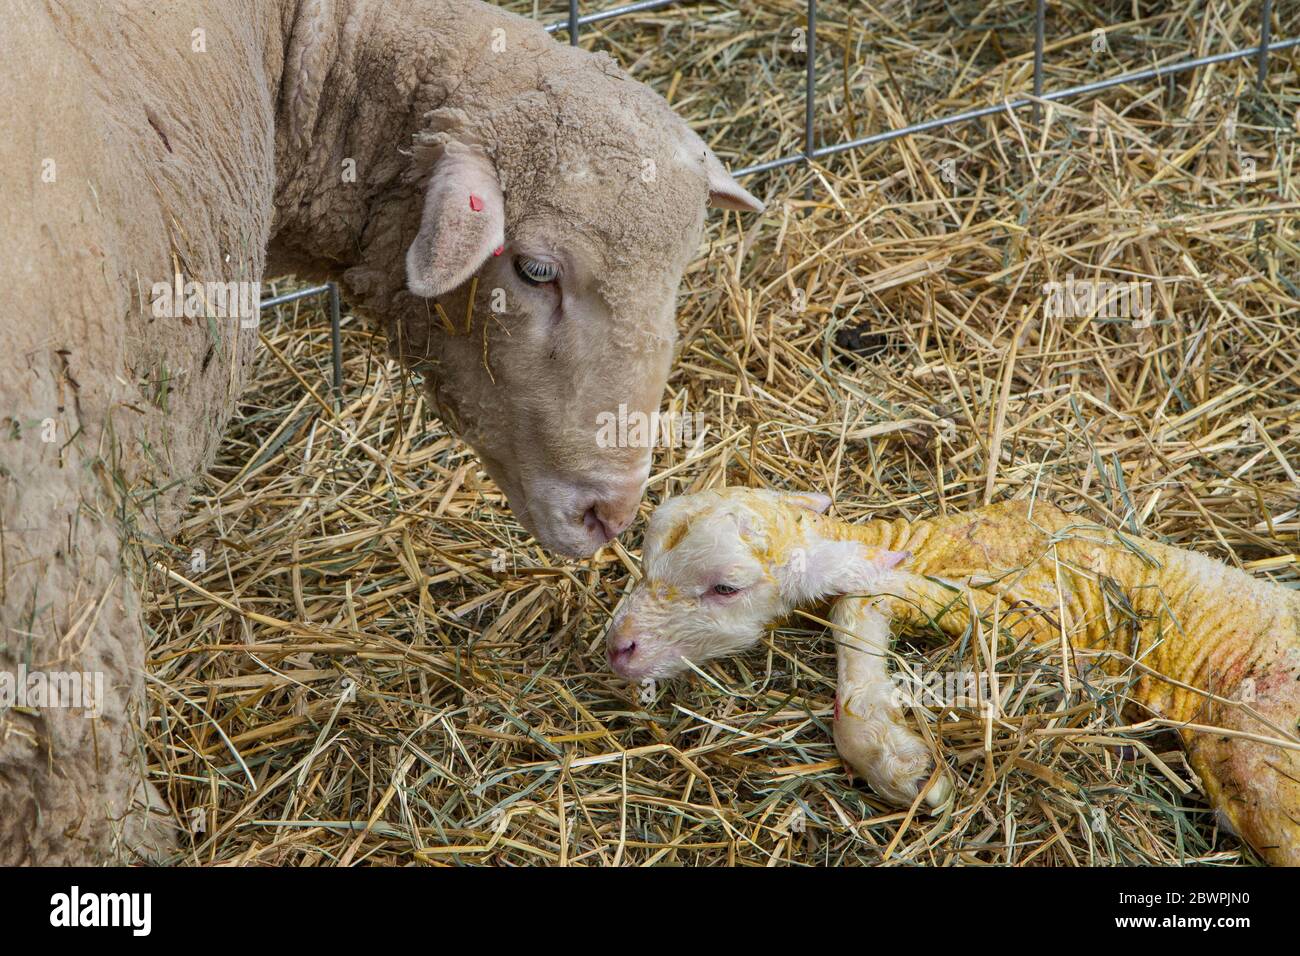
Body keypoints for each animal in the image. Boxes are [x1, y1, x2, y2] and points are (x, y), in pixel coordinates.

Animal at [603, 489, 1300, 863]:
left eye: (726, 587)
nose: (618, 648)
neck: (933, 542)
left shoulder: (1041, 614)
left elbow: (855, 599)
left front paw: (905, 769)